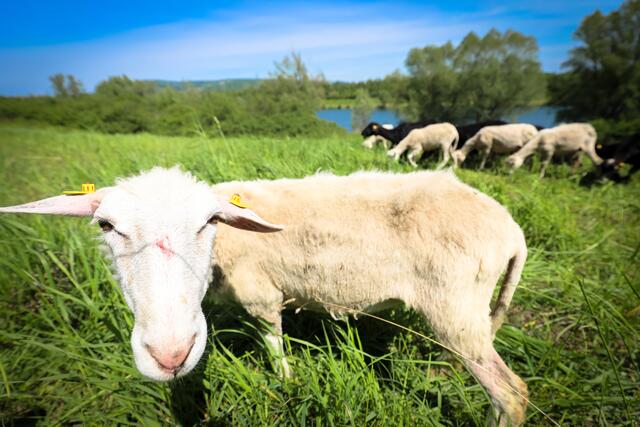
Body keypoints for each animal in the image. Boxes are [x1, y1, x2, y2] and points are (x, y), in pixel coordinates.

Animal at [0, 167, 529, 426]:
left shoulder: (260, 292)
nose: (169, 354)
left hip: (456, 307)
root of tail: (511, 230)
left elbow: (273, 344)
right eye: (106, 226)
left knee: (511, 392)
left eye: (209, 222)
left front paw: (287, 383)